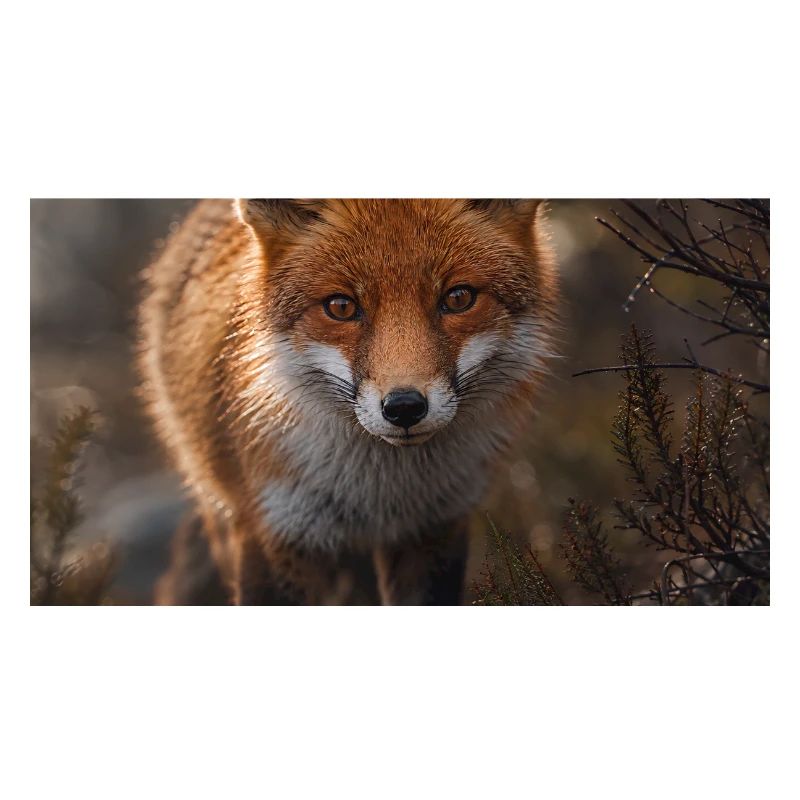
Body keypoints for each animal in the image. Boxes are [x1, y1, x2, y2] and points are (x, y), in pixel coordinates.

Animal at [138, 199, 558, 605]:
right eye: (341, 306)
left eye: (458, 298)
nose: (404, 407)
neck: (377, 495)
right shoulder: (276, 530)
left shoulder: (434, 528)